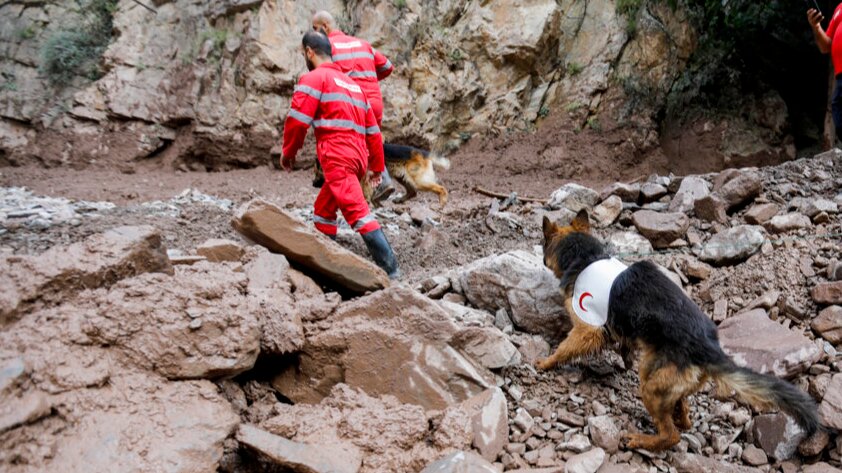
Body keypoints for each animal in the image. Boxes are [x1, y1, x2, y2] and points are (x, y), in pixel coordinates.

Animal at [312, 142, 450, 205]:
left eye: (316, 172)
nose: (313, 184)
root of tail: (423, 153)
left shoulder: (366, 176)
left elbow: (365, 189)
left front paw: (366, 200)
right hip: (402, 178)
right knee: (413, 192)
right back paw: (399, 199)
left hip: (418, 180)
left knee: (441, 188)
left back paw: (442, 203)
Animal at [536, 209, 816, 450]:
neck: (584, 255)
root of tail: (709, 349)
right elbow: (623, 344)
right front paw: (624, 358)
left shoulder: (587, 326)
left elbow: (565, 348)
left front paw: (546, 362)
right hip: (668, 383)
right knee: (684, 415)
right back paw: (678, 417)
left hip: (650, 385)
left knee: (672, 435)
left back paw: (642, 440)